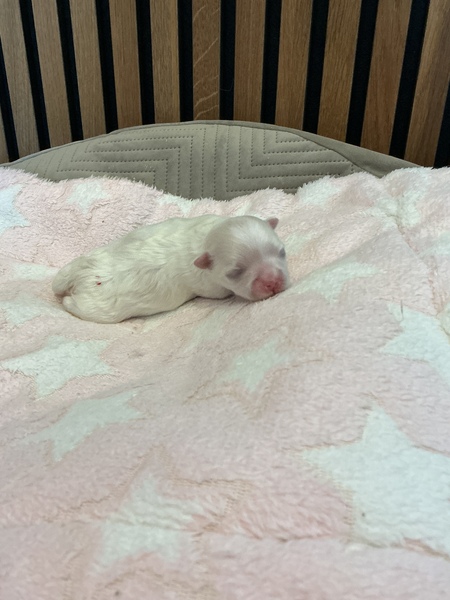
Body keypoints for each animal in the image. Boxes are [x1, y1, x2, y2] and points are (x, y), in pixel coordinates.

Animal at [52, 214, 290, 323]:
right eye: (235, 273)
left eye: (282, 252)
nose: (273, 282)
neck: (206, 239)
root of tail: (80, 276)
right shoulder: (212, 288)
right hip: (99, 308)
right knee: (78, 306)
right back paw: (67, 303)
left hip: (81, 260)